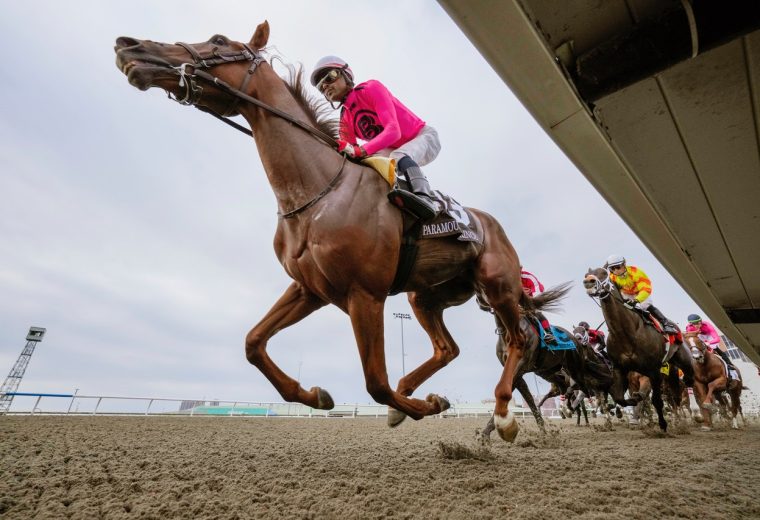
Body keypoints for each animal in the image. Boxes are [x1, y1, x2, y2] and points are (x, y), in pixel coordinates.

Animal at [116, 22, 536, 440]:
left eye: (218, 41)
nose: (128, 46)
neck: (318, 190)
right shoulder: (310, 289)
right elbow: (253, 343)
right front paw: (316, 395)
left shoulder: (365, 294)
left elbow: (375, 382)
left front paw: (426, 406)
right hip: (426, 296)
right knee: (447, 349)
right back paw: (414, 395)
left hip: (497, 285)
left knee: (515, 340)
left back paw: (503, 414)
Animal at [580, 266, 696, 432]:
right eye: (586, 275)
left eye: (603, 273)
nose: (588, 282)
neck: (626, 332)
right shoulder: (619, 369)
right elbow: (620, 398)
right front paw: (634, 403)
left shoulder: (653, 371)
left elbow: (656, 401)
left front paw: (662, 425)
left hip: (679, 360)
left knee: (683, 385)